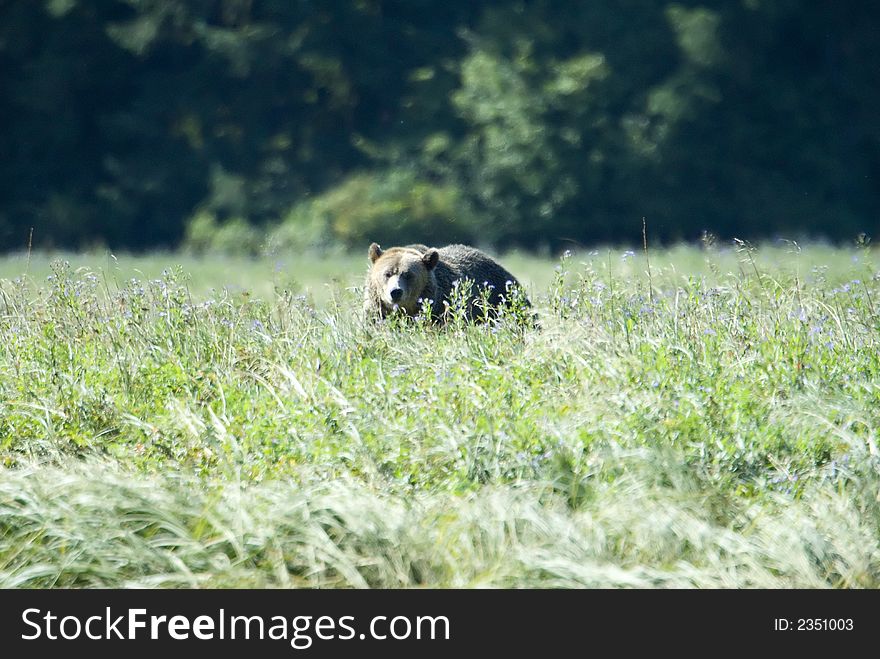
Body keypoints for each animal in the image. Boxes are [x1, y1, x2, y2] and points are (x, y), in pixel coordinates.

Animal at [362, 242, 528, 324]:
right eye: (387, 273)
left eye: (408, 275)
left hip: (503, 299)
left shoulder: (444, 307)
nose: (395, 292)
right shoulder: (376, 312)